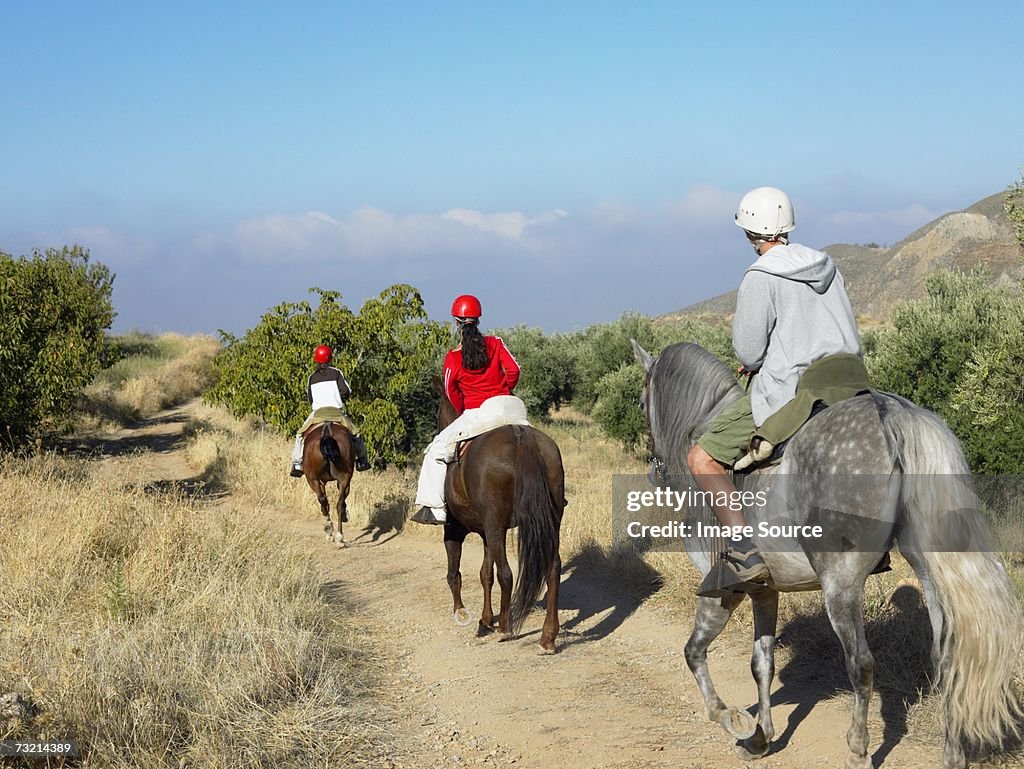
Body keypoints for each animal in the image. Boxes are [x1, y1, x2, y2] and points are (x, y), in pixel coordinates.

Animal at [428, 376, 565, 651]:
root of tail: (520, 436)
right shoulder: (486, 533)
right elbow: (485, 574)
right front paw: (484, 619)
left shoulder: (456, 529)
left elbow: (455, 572)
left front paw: (463, 613)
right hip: (548, 520)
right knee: (553, 568)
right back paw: (547, 636)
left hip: (495, 524)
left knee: (507, 574)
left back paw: (505, 627)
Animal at [630, 342, 1024, 769]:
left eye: (641, 401)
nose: (653, 469)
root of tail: (893, 414)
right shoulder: (765, 590)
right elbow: (761, 662)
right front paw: (760, 737)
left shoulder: (723, 591)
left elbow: (694, 652)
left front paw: (732, 719)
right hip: (930, 571)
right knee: (947, 657)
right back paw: (952, 754)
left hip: (841, 581)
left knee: (861, 664)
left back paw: (858, 751)